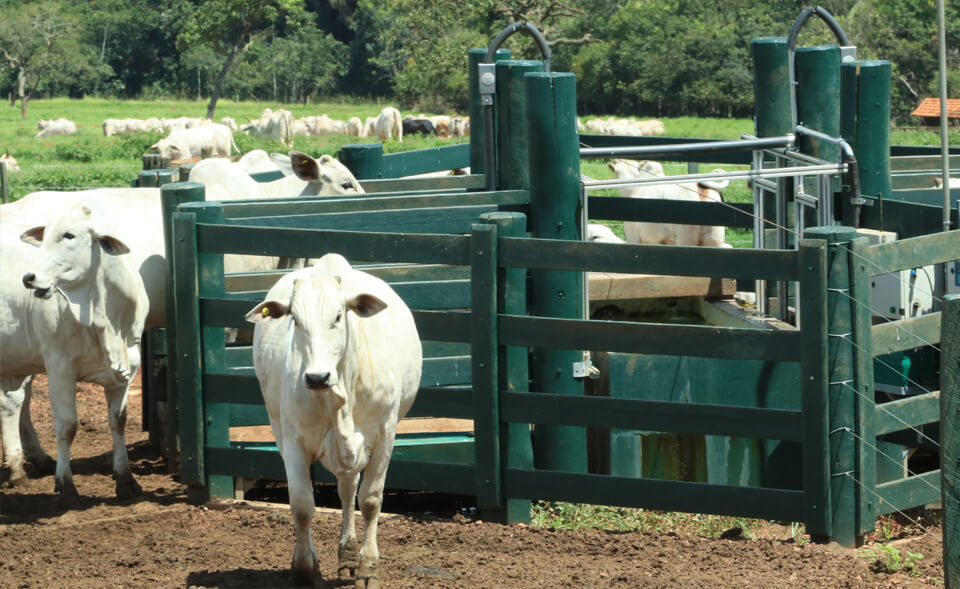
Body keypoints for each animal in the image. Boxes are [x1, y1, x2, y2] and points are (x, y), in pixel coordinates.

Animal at [0, 200, 149, 498]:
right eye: (44, 236)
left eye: (69, 235)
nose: (29, 278)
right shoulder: (59, 366)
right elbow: (67, 425)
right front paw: (65, 483)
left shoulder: (128, 368)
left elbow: (118, 420)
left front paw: (125, 478)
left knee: (14, 403)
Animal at [244, 254, 420, 588]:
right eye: (295, 320)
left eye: (338, 316)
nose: (316, 377)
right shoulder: (293, 439)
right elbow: (302, 506)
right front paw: (305, 569)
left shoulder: (386, 434)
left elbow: (371, 500)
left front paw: (368, 569)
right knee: (342, 489)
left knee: (349, 490)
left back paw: (350, 559)